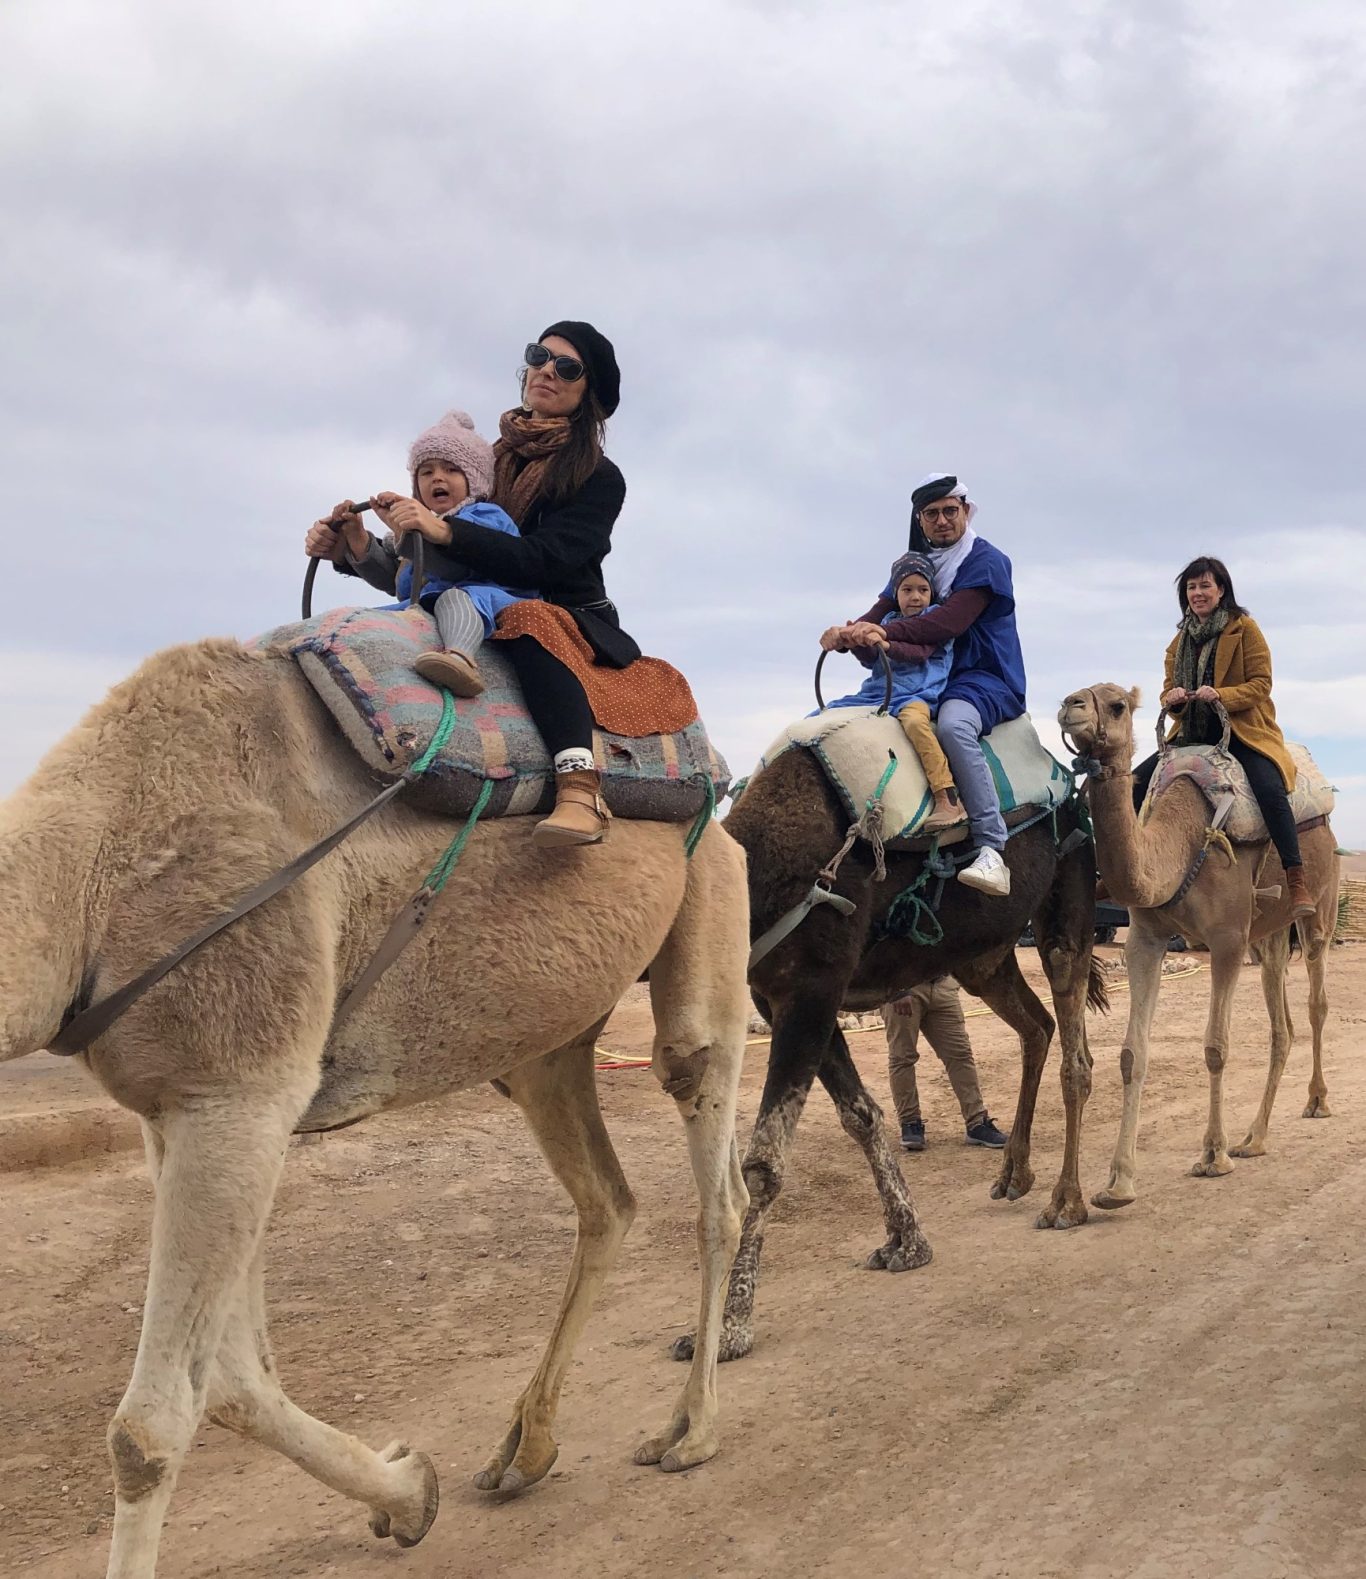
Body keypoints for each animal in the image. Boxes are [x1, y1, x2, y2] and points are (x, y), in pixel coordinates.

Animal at [0, 637, 750, 1579]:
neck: (90, 877)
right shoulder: (182, 1110)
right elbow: (238, 1381)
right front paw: (408, 1492)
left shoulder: (239, 1089)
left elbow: (152, 1425)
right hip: (544, 1044)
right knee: (606, 1199)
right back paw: (525, 1447)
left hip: (707, 910)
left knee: (714, 1171)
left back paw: (691, 1428)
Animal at [673, 743, 1104, 1365]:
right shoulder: (790, 1003)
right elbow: (862, 1117)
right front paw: (907, 1240)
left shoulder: (810, 990)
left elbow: (763, 1164)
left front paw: (727, 1330)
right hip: (982, 957)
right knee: (1037, 1026)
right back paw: (1013, 1174)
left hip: (1068, 896)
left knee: (1075, 1047)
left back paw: (1066, 1203)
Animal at [1057, 683, 1339, 1208]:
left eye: (1117, 705)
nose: (1070, 706)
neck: (1179, 841)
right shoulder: (1145, 939)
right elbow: (1131, 1055)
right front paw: (1117, 1183)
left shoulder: (1227, 940)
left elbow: (1215, 1046)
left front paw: (1212, 1155)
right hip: (1269, 935)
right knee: (1282, 1027)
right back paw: (1254, 1138)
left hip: (1319, 911)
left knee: (1316, 1002)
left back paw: (1316, 1101)